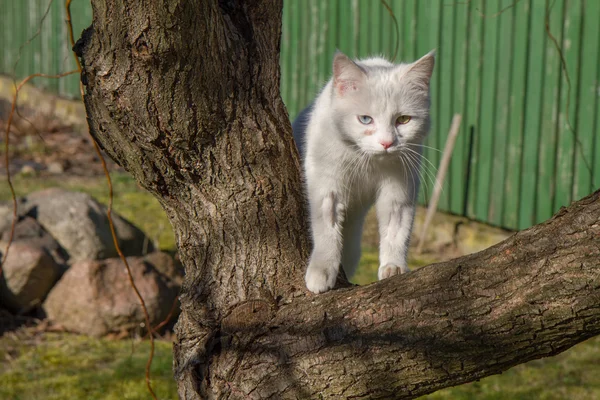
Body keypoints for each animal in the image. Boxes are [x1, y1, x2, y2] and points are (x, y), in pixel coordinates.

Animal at [292, 50, 434, 294]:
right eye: (365, 119)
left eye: (403, 120)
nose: (387, 143)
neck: (366, 159)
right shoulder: (325, 184)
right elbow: (326, 228)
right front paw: (321, 272)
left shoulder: (400, 188)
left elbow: (397, 230)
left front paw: (393, 266)